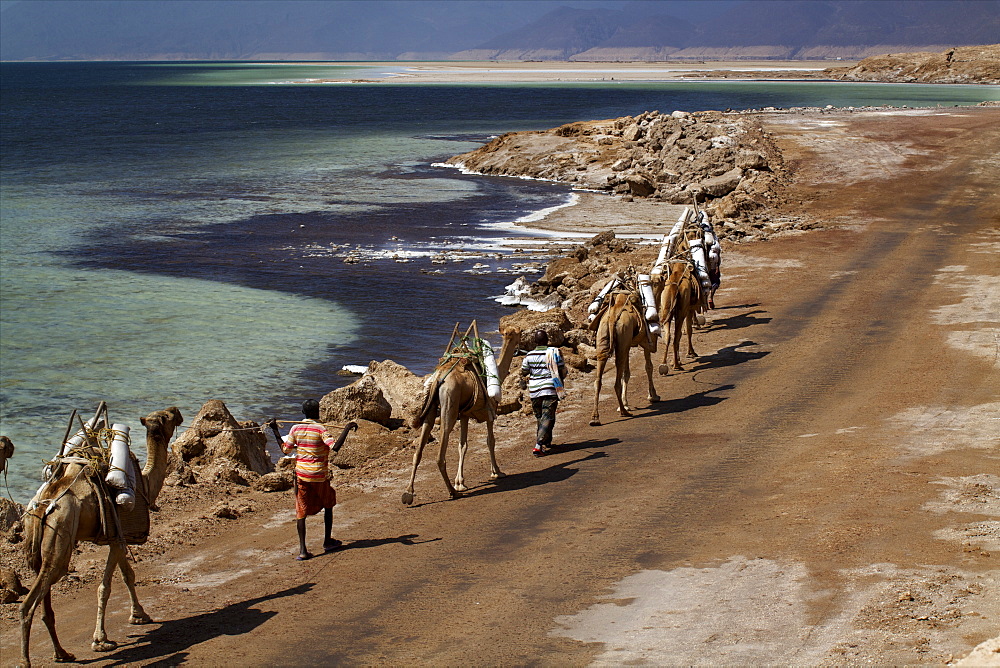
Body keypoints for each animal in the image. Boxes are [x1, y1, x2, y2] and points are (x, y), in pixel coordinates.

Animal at [21, 404, 184, 664]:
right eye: (166, 417)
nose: (176, 410)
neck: (145, 484)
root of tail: (43, 503)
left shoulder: (117, 537)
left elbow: (128, 574)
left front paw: (139, 615)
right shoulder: (118, 536)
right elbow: (105, 587)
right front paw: (101, 640)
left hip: (37, 545)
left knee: (44, 601)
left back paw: (62, 653)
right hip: (61, 533)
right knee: (30, 602)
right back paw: (27, 661)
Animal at [402, 320, 520, 504]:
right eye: (517, 333)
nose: (522, 337)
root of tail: (439, 377)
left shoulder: (464, 414)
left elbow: (462, 445)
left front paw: (460, 482)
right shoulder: (490, 411)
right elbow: (490, 441)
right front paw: (497, 472)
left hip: (432, 405)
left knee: (418, 450)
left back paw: (408, 493)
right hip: (449, 400)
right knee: (440, 452)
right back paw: (452, 492)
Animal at [588, 278, 660, 428]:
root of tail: (612, 319)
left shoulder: (628, 344)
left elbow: (627, 373)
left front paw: (627, 403)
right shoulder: (646, 341)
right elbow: (648, 367)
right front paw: (653, 396)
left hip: (604, 338)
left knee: (598, 380)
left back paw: (595, 418)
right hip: (623, 338)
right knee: (616, 381)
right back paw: (623, 412)